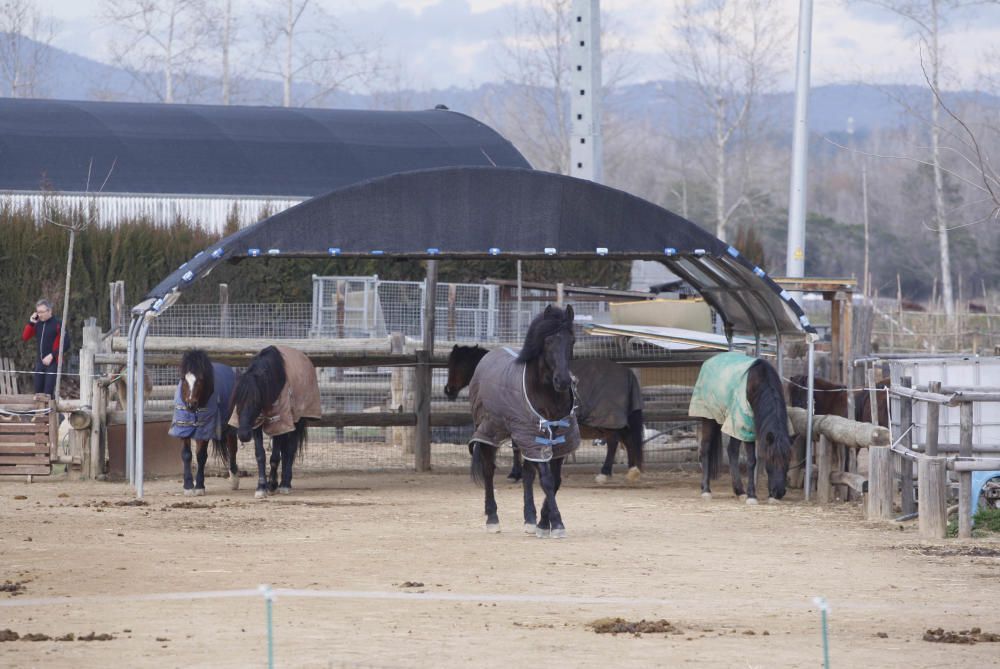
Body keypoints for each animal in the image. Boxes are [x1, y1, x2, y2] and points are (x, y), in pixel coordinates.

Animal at [169, 350, 239, 496]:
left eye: (201, 379)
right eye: (183, 378)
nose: (191, 404)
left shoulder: (204, 430)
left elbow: (201, 456)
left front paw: (200, 486)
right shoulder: (184, 428)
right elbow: (187, 455)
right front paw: (188, 486)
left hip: (230, 427)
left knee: (232, 449)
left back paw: (234, 480)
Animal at [230, 344, 316, 496]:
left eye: (256, 401)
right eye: (236, 401)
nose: (243, 435)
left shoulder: (279, 422)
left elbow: (275, 457)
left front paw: (272, 484)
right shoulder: (256, 424)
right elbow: (260, 455)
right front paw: (261, 487)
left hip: (297, 421)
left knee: (290, 450)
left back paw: (285, 484)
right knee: (286, 451)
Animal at [444, 344, 640, 480]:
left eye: (459, 364)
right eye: (450, 364)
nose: (448, 390)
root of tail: (628, 372)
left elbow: (517, 447)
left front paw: (516, 473)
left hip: (608, 420)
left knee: (614, 442)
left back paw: (605, 472)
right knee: (628, 440)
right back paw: (632, 470)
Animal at [468, 304, 580, 536]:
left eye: (572, 340)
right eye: (548, 341)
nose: (563, 381)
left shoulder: (557, 440)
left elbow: (554, 480)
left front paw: (542, 523)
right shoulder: (536, 437)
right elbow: (547, 480)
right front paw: (557, 523)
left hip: (520, 438)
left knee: (527, 473)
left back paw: (530, 518)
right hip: (490, 431)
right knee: (488, 470)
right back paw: (492, 519)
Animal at [692, 352, 792, 504]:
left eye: (788, 461)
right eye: (771, 459)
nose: (779, 493)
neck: (758, 382)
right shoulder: (745, 426)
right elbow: (751, 461)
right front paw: (752, 495)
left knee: (731, 451)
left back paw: (739, 491)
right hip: (710, 417)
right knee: (705, 448)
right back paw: (706, 490)